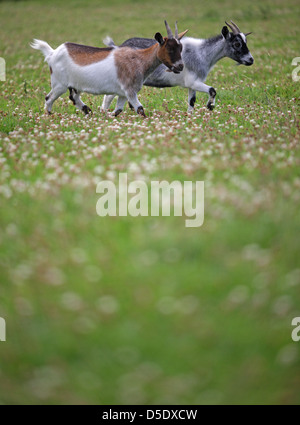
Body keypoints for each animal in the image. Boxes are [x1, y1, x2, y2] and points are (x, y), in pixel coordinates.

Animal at [29, 21, 185, 116]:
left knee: (73, 97)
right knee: (49, 98)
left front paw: (107, 116)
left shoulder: (123, 93)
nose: (180, 66)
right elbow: (140, 109)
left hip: (74, 85)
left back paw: (88, 111)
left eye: (181, 48)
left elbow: (118, 110)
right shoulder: (129, 90)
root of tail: (52, 53)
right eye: (170, 49)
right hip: (59, 83)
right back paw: (50, 116)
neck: (139, 59)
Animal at [102, 20, 253, 112]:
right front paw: (210, 106)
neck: (202, 53)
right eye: (237, 43)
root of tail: (117, 47)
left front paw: (190, 116)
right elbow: (212, 90)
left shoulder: (192, 85)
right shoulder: (193, 81)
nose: (250, 60)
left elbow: (192, 101)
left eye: (245, 41)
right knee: (109, 96)